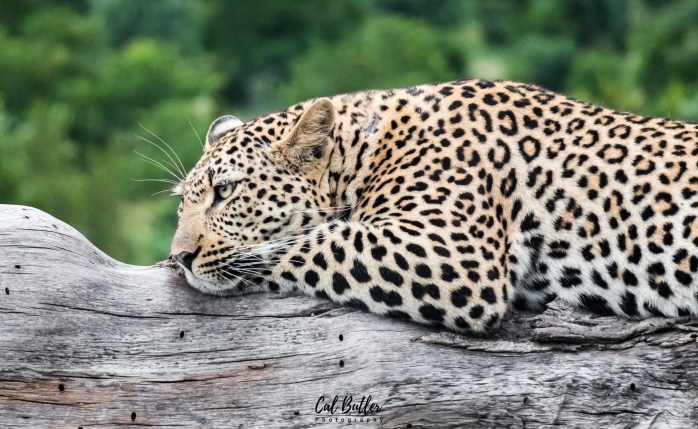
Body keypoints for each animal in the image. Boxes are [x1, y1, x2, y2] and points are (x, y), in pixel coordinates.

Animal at [170, 79, 698, 333]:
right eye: (182, 205)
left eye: (225, 192)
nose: (180, 257)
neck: (367, 152)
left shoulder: (454, 252)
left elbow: (315, 241)